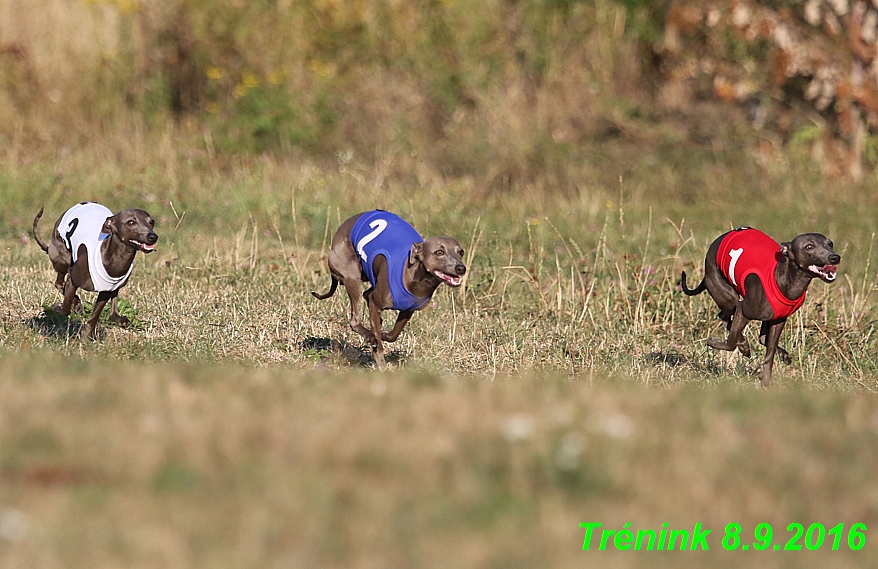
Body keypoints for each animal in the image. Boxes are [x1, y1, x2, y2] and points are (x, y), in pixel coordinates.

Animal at [314, 211, 470, 366]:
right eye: (439, 252)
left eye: (460, 252)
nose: (461, 268)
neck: (414, 277)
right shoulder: (376, 303)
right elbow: (378, 343)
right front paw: (380, 361)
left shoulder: (408, 310)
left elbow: (393, 334)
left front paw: (383, 334)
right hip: (352, 274)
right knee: (355, 319)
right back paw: (370, 335)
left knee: (366, 294)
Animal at [684, 226, 844, 386]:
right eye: (809, 247)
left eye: (830, 244)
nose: (834, 257)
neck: (782, 278)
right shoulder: (743, 311)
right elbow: (731, 343)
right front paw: (717, 343)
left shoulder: (779, 320)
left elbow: (769, 353)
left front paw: (766, 383)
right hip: (727, 296)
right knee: (725, 316)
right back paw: (743, 343)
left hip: (764, 314)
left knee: (760, 337)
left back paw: (780, 353)